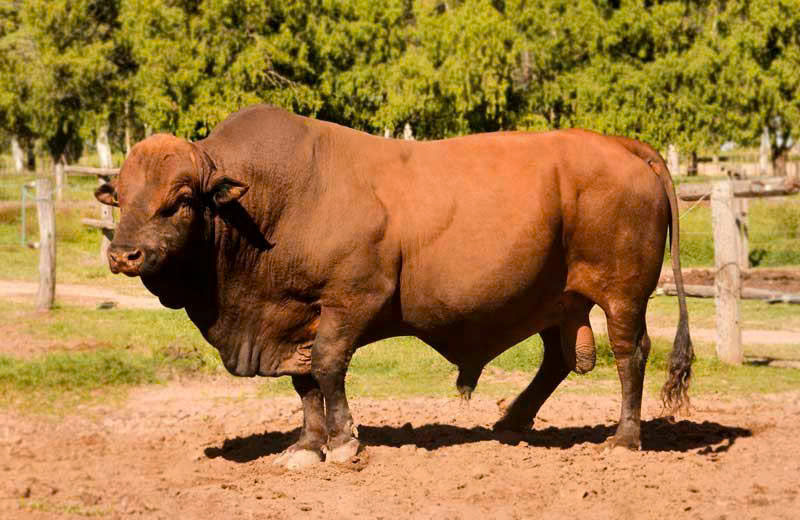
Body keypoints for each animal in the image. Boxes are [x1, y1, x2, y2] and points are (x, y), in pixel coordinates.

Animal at [96, 105, 693, 469]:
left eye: (180, 200)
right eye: (121, 196)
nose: (124, 254)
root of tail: (620, 145)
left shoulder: (353, 300)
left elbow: (327, 367)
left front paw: (344, 443)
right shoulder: (295, 316)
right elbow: (304, 383)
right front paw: (307, 446)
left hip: (622, 296)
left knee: (630, 354)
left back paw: (624, 438)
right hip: (558, 300)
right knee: (561, 359)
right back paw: (511, 422)